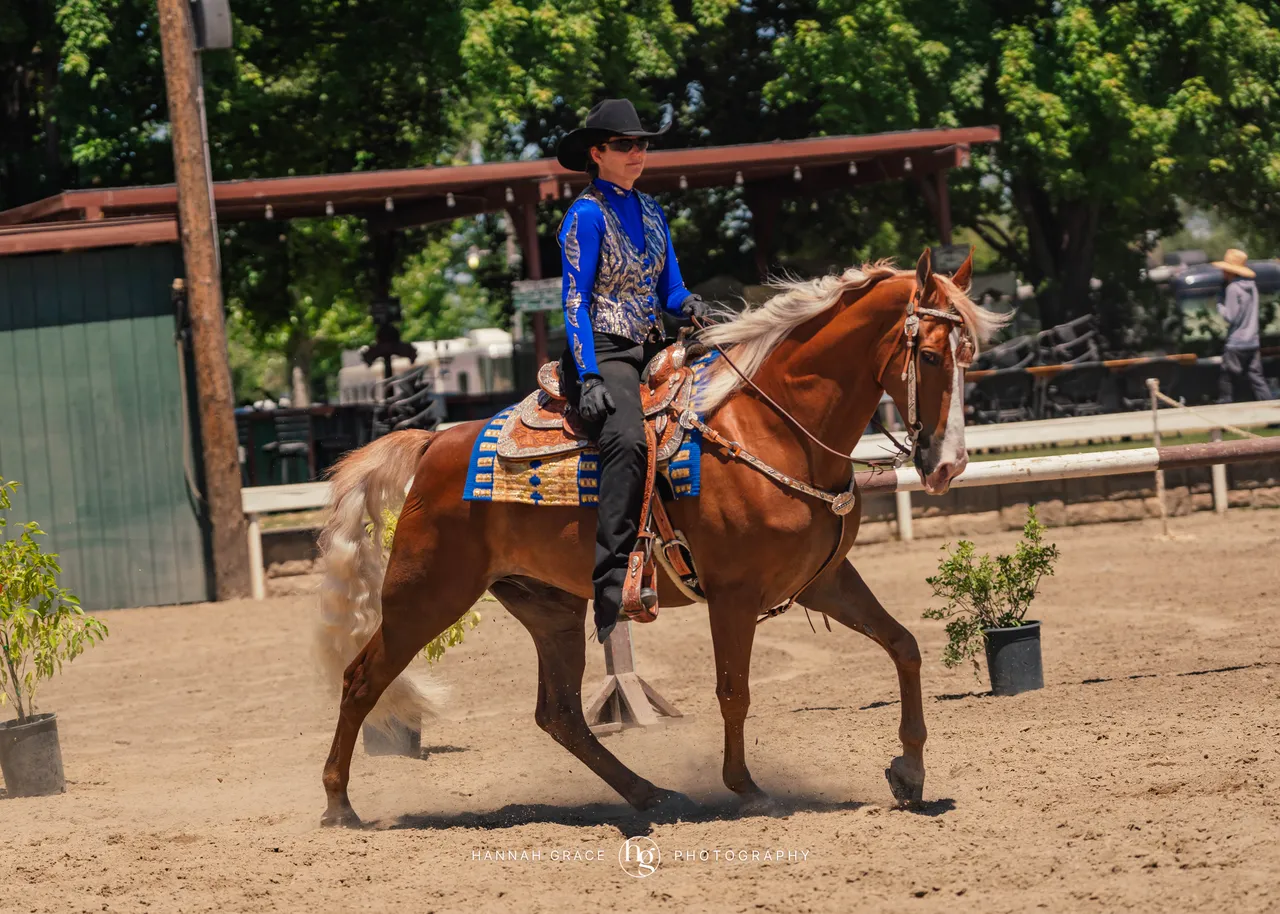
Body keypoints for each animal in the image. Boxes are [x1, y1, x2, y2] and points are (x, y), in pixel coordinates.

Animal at [315, 248, 1005, 827]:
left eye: (970, 358)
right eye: (932, 357)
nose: (948, 466)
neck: (773, 428)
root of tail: (434, 443)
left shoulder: (825, 580)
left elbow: (904, 646)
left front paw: (909, 771)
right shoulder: (734, 596)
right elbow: (734, 691)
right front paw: (746, 787)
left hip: (549, 608)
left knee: (560, 714)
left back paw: (652, 795)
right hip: (424, 595)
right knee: (360, 680)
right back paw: (338, 805)